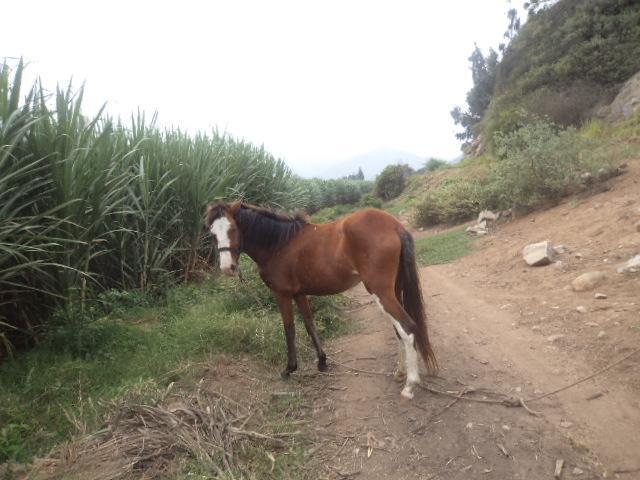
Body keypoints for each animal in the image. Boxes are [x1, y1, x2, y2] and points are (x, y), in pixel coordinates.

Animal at [208, 201, 438, 400]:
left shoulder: (282, 294)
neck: (278, 244)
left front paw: (289, 369)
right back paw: (400, 373)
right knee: (399, 330)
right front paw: (322, 362)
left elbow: (289, 329)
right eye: (212, 234)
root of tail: (393, 225)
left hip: (381, 292)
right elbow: (309, 324)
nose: (227, 268)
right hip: (393, 290)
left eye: (233, 229)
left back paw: (409, 386)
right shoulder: (299, 294)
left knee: (407, 327)